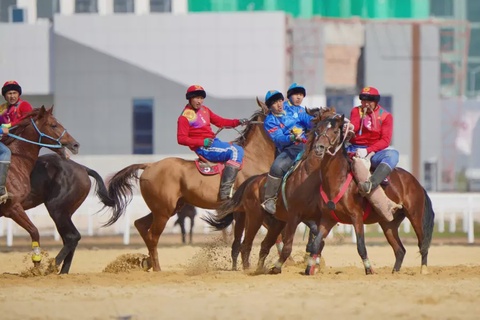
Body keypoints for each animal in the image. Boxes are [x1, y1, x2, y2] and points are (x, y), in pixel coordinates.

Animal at [0, 107, 79, 268]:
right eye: (53, 125)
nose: (75, 144)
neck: (16, 162)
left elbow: (34, 232)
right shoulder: (13, 207)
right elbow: (35, 231)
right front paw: (37, 263)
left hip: (60, 211)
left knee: (71, 237)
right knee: (71, 237)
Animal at [104, 101, 278, 272]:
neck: (252, 159)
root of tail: (150, 165)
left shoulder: (241, 211)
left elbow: (241, 240)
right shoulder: (252, 209)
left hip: (168, 208)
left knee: (141, 225)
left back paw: (147, 262)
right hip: (163, 212)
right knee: (152, 236)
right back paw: (157, 268)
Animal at [203, 109, 338, 272]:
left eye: (337, 126)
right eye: (321, 127)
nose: (321, 148)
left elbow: (315, 234)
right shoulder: (293, 214)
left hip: (266, 219)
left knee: (257, 244)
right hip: (252, 217)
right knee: (244, 244)